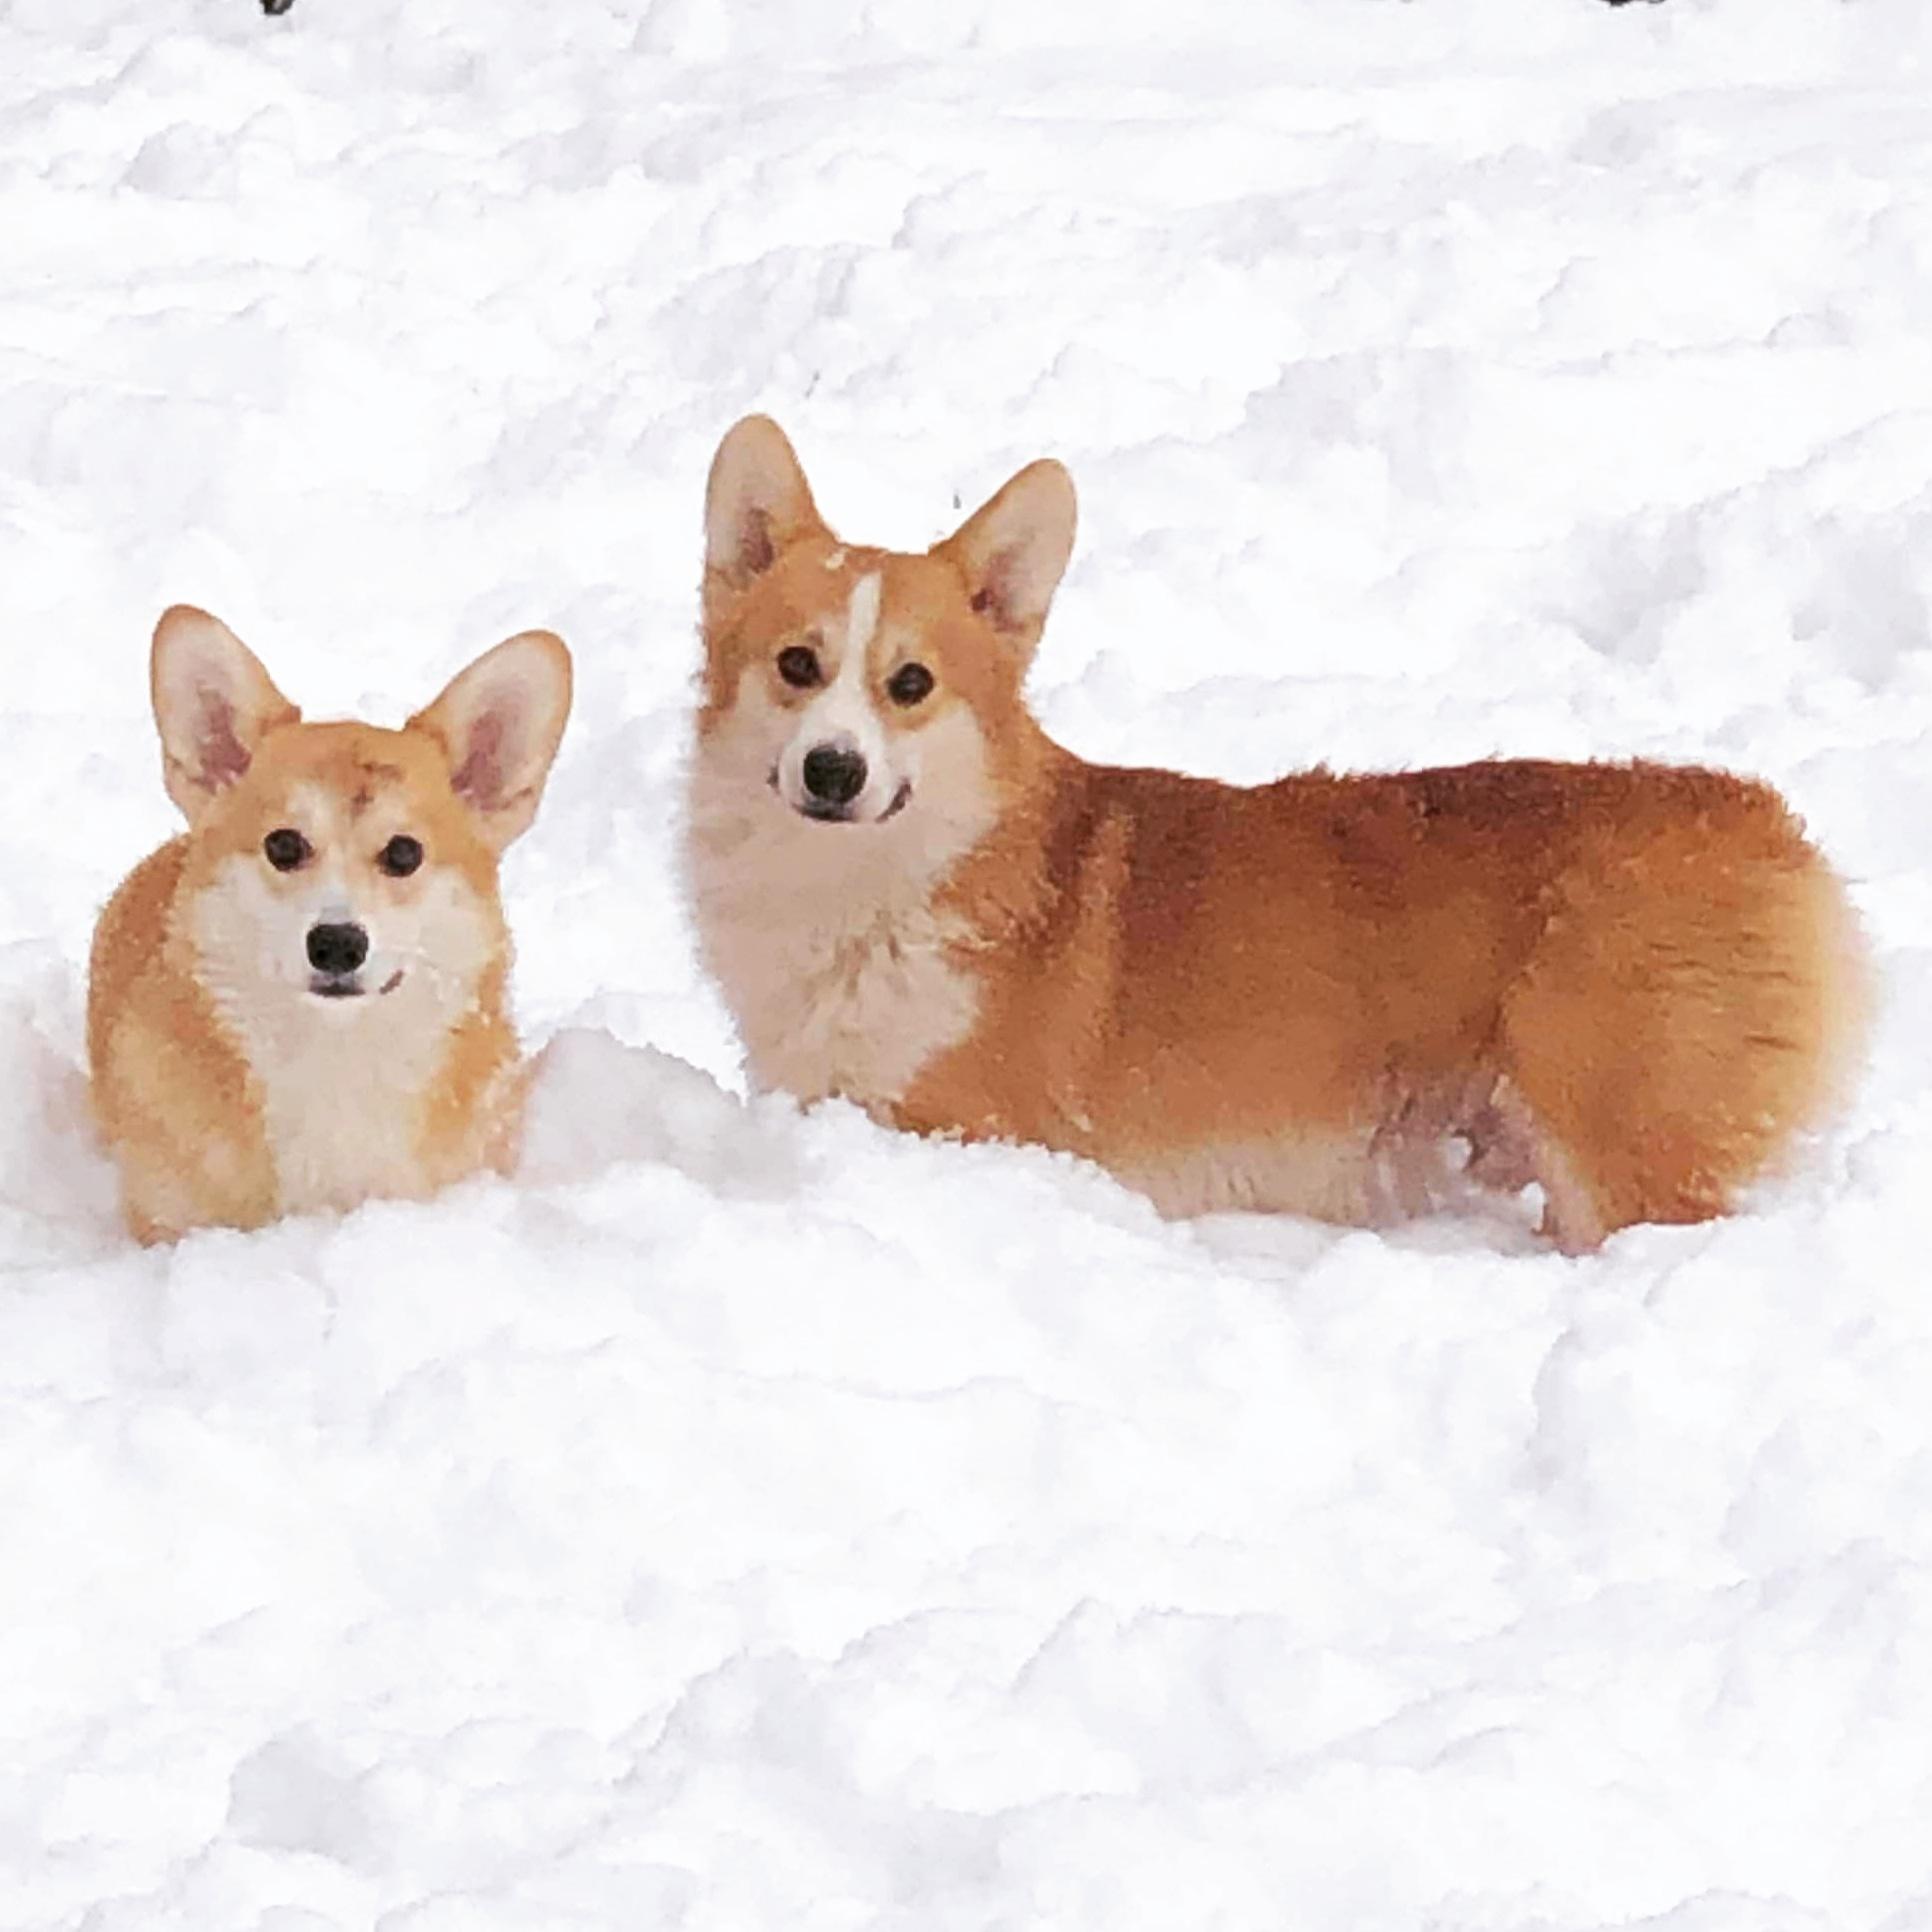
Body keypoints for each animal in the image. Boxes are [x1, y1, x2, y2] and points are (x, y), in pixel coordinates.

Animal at [684, 416, 1870, 1253]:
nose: (833, 771)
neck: (864, 887)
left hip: (1618, 1142)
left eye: (911, 684)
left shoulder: (967, 1127)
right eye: (797, 665)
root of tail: (1762, 821)